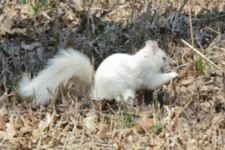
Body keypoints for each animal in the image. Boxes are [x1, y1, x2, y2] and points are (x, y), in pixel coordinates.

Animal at [19, 39, 178, 105]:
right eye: (163, 57)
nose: (170, 63)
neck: (147, 58)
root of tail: (93, 91)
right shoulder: (148, 73)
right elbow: (154, 81)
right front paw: (173, 74)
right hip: (123, 89)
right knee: (121, 100)